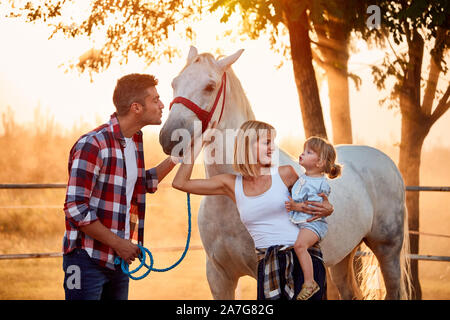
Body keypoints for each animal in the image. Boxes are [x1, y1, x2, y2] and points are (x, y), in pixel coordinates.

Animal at [158, 47, 412, 300]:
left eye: (210, 86)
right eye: (174, 83)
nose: (169, 138)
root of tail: (387, 163)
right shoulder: (219, 277)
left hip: (387, 250)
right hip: (344, 255)